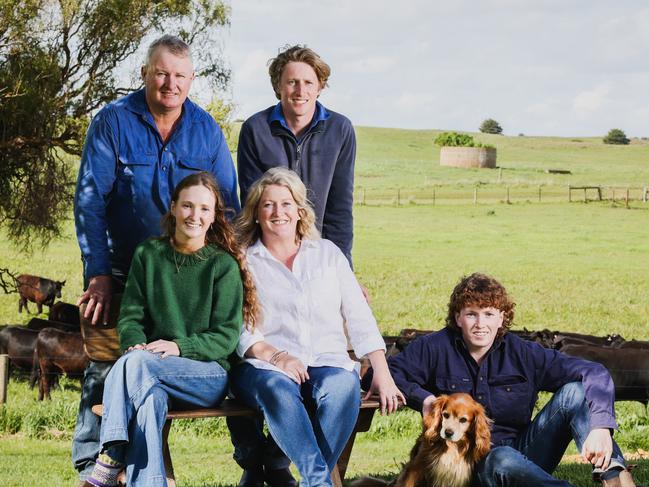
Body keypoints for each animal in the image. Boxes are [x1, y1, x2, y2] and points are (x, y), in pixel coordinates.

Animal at [352, 392, 488, 487]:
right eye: (445, 415)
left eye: (463, 420)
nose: (448, 432)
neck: (451, 446)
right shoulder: (415, 468)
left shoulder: (458, 475)